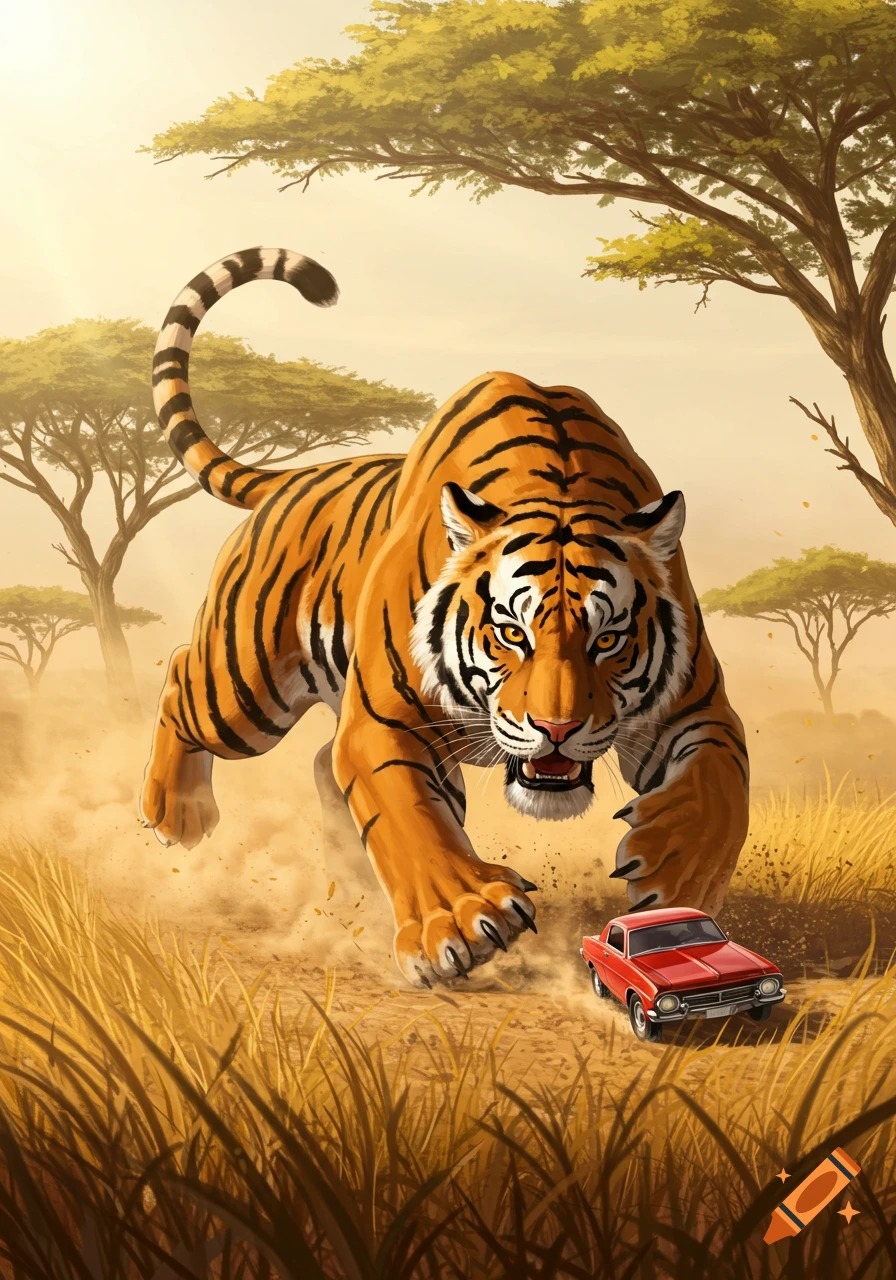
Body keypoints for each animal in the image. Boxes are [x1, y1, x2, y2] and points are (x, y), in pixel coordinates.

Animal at [141, 247, 750, 988]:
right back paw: (178, 814)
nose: (557, 729)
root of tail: (296, 476)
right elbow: (408, 815)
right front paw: (459, 919)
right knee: (181, 678)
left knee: (317, 761)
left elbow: (723, 784)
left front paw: (676, 875)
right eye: (512, 633)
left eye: (608, 639)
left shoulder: (698, 705)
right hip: (244, 691)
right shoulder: (384, 720)